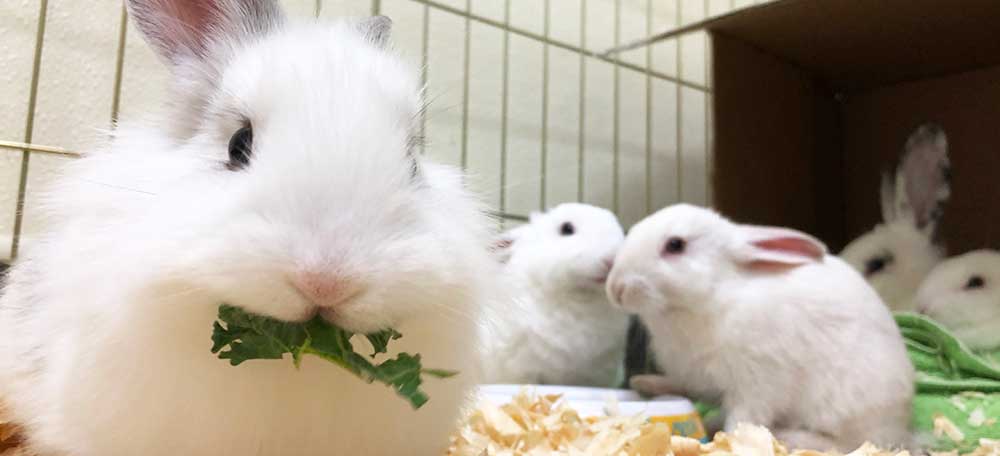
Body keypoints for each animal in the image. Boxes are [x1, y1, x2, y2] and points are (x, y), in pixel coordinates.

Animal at [608, 204, 916, 452]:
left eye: (675, 245)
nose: (616, 289)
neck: (713, 296)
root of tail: (902, 424)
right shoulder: (702, 379)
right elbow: (688, 388)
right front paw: (645, 382)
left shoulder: (758, 383)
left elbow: (743, 417)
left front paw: (729, 442)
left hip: (842, 407)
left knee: (850, 442)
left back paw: (793, 437)